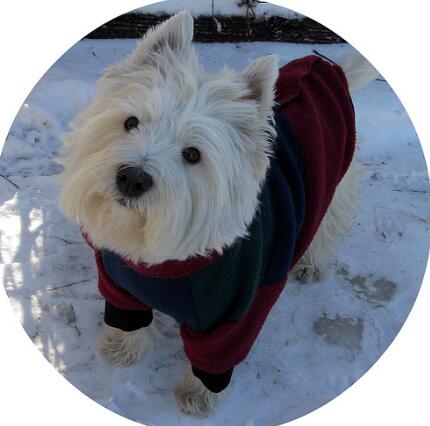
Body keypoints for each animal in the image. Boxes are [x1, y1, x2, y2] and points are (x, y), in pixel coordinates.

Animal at [58, 10, 378, 416]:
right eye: (131, 122)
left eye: (193, 154)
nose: (132, 178)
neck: (164, 262)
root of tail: (326, 68)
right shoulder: (119, 283)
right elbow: (129, 319)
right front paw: (123, 349)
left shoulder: (238, 313)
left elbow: (213, 358)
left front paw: (198, 395)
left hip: (334, 182)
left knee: (328, 224)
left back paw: (312, 263)